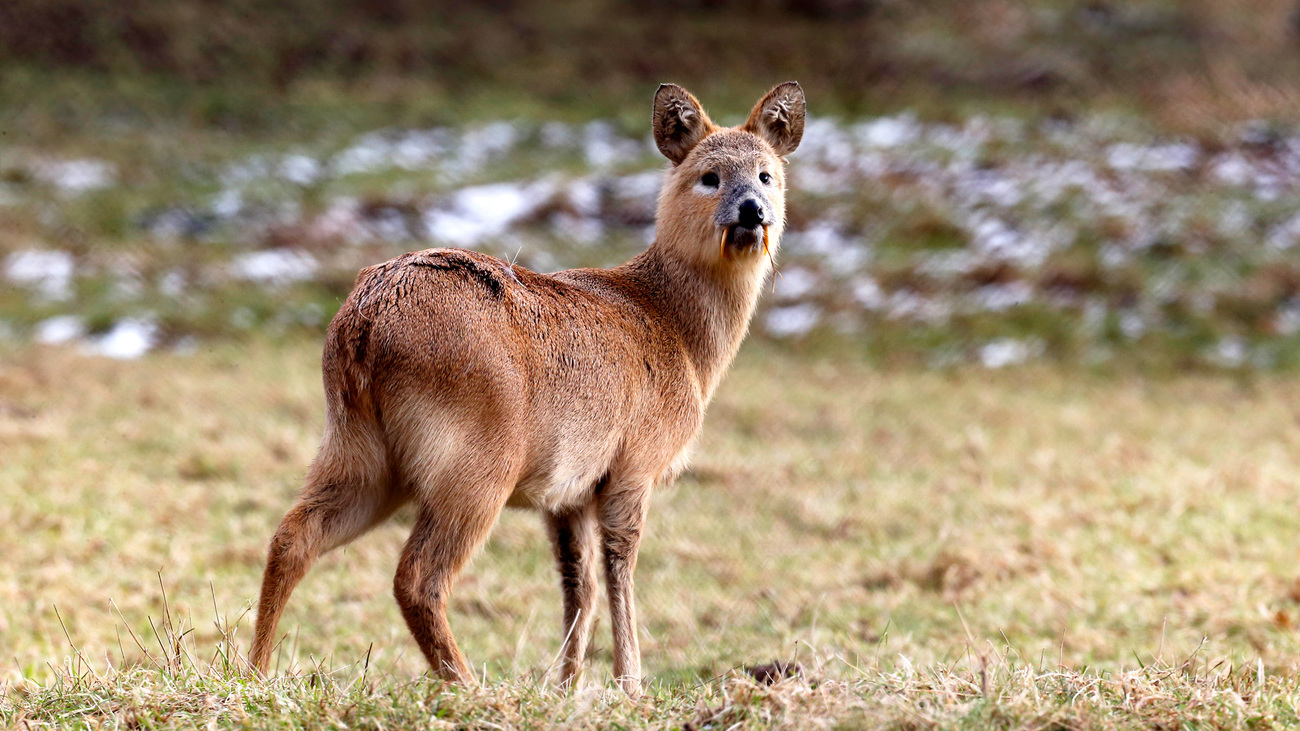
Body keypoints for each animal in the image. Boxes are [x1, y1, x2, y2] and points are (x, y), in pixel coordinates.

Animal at [245, 79, 800, 691]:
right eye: (709, 176)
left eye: (766, 174)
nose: (752, 210)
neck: (678, 332)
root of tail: (362, 324)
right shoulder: (635, 463)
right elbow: (619, 568)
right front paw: (629, 684)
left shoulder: (567, 490)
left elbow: (577, 582)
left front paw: (566, 686)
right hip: (477, 457)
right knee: (417, 577)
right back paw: (469, 687)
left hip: (357, 448)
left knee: (292, 537)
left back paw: (255, 673)